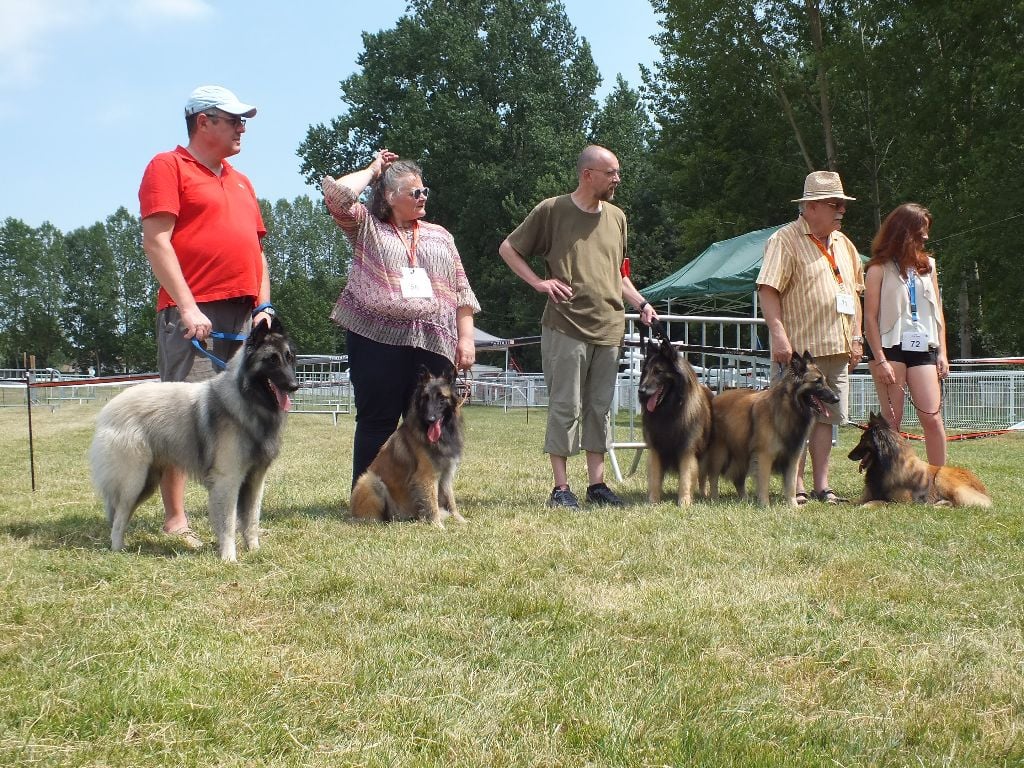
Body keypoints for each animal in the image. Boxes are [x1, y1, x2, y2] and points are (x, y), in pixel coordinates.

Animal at [89, 315, 299, 561]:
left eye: (289, 358)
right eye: (271, 360)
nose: (294, 386)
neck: (247, 399)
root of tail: (110, 408)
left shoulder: (255, 479)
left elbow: (251, 519)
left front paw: (254, 550)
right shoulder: (228, 479)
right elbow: (228, 523)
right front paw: (229, 558)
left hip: (147, 481)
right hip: (133, 480)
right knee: (119, 516)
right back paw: (118, 549)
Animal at [704, 352, 839, 507]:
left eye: (825, 380)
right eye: (817, 381)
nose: (837, 399)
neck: (790, 408)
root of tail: (714, 399)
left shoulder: (793, 457)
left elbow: (791, 484)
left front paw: (793, 506)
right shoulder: (764, 456)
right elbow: (764, 483)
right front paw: (765, 505)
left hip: (742, 454)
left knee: (738, 480)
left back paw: (745, 500)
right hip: (720, 453)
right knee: (713, 477)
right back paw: (714, 499)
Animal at [847, 411, 991, 507]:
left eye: (863, 440)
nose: (849, 455)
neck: (887, 465)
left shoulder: (902, 502)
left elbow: (877, 501)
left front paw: (865, 507)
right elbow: (851, 502)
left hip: (941, 477)